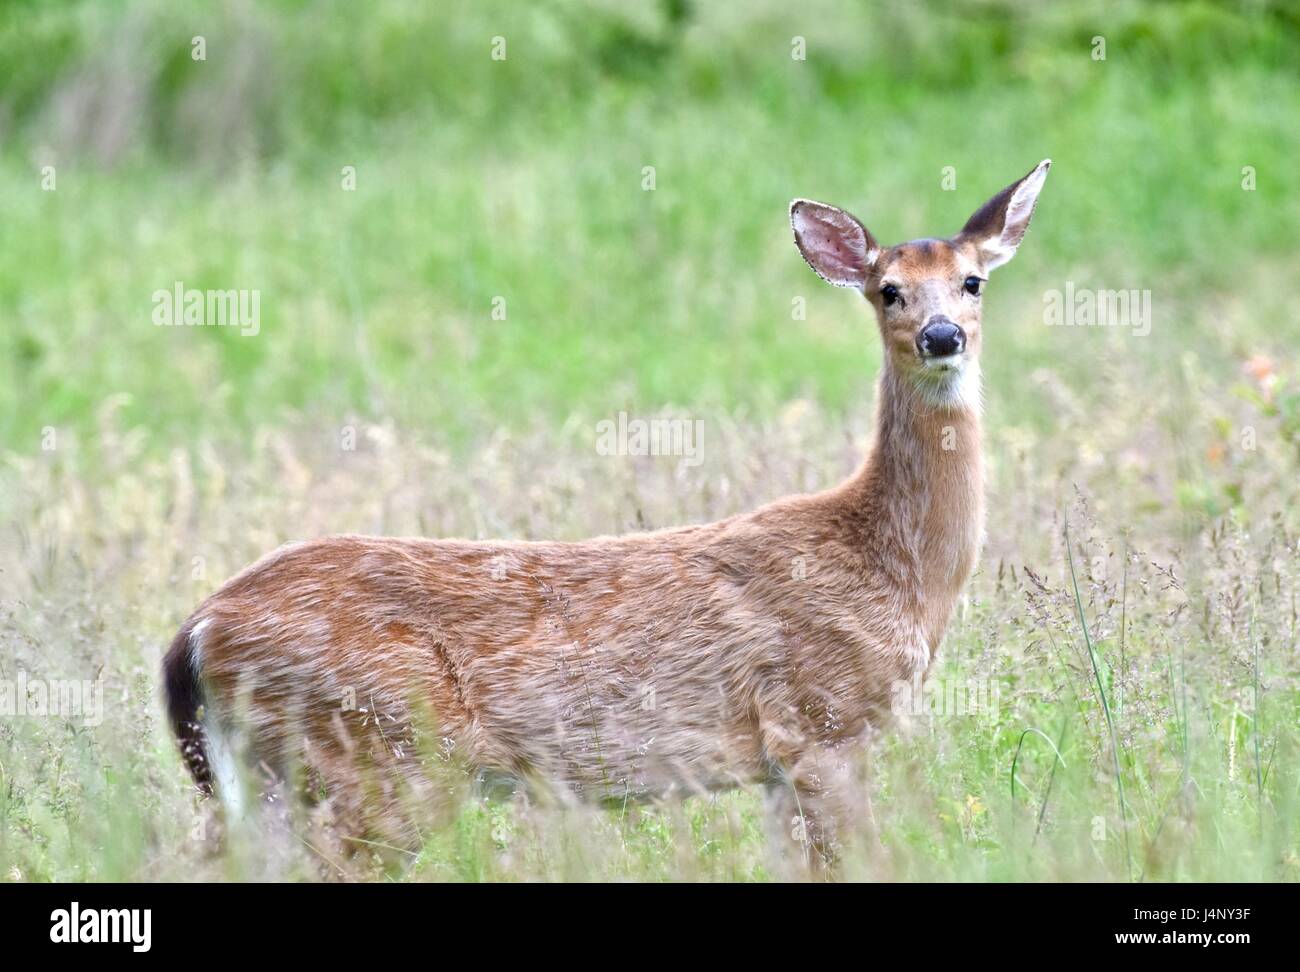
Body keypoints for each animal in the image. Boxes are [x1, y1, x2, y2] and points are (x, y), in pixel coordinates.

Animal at [162, 159, 1050, 873]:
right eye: (887, 290)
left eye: (972, 281)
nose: (941, 336)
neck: (894, 569)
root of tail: (199, 628)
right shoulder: (822, 723)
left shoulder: (779, 764)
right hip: (386, 752)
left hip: (268, 777)